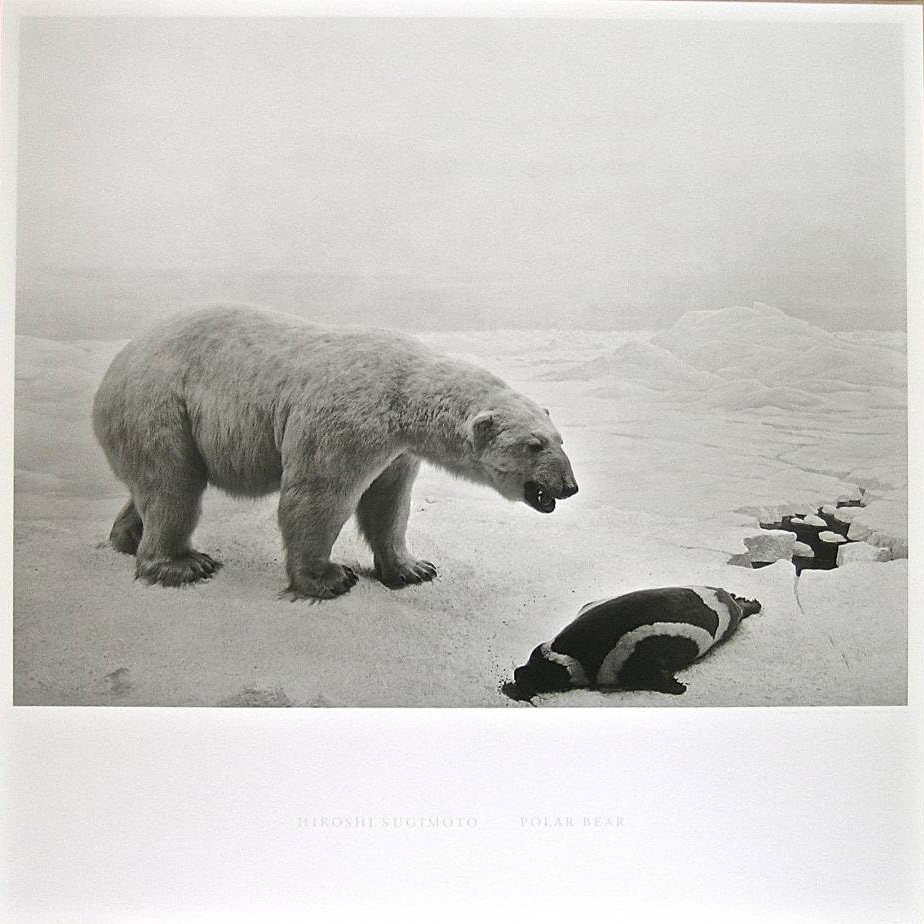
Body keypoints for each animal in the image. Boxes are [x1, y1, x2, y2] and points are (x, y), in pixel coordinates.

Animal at [92, 305, 579, 599]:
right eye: (534, 445)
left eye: (559, 439)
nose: (569, 486)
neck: (405, 392)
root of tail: (115, 365)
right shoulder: (348, 420)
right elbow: (319, 494)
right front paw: (328, 577)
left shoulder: (397, 450)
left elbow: (389, 503)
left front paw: (413, 568)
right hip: (160, 406)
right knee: (173, 485)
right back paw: (182, 563)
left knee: (153, 485)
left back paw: (127, 537)